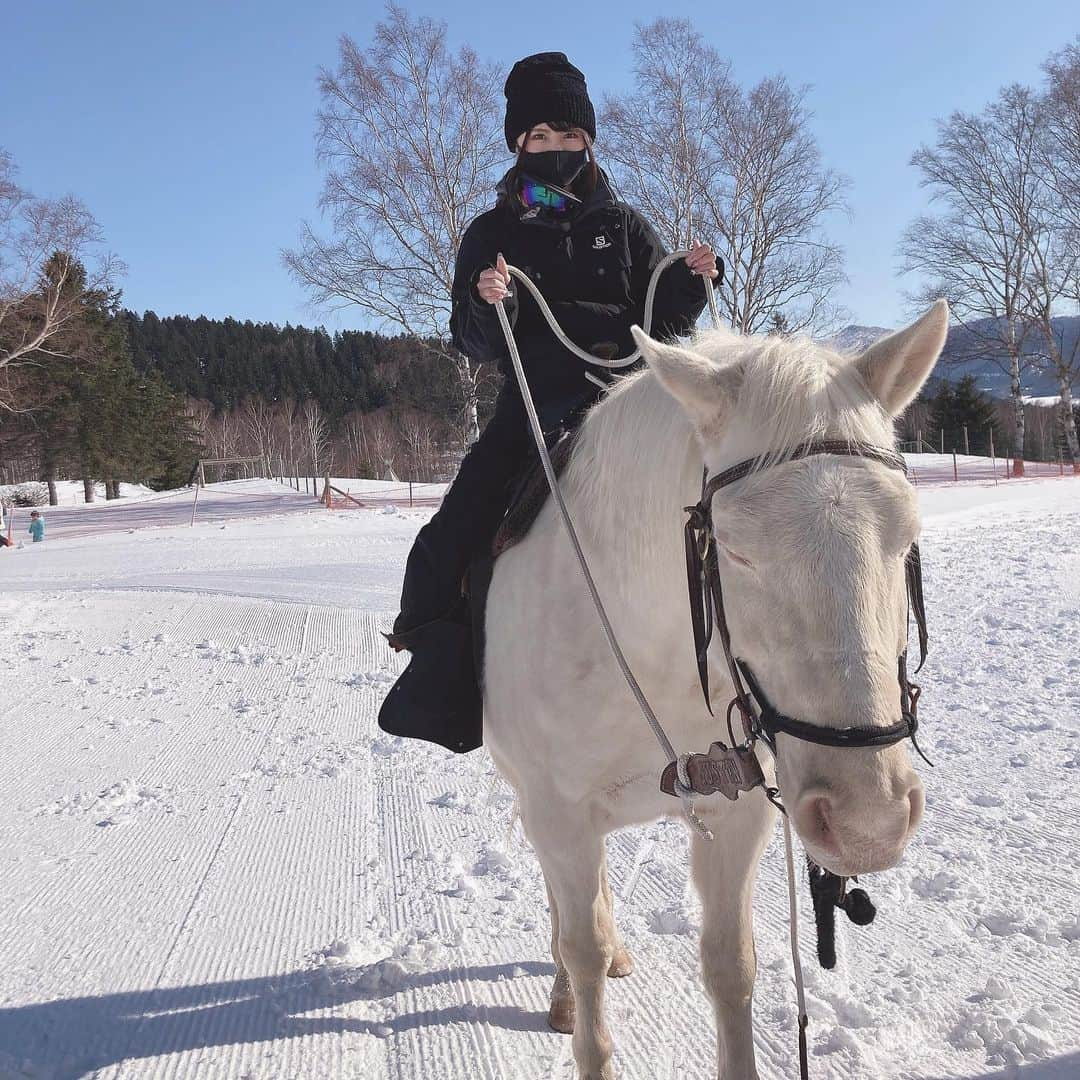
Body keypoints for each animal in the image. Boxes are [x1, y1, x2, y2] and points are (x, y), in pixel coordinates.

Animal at [486, 300, 950, 1075]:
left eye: (907, 533)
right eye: (733, 548)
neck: (650, 652)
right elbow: (582, 957)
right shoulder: (558, 813)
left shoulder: (738, 814)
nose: (867, 823)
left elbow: (731, 965)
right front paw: (580, 997)